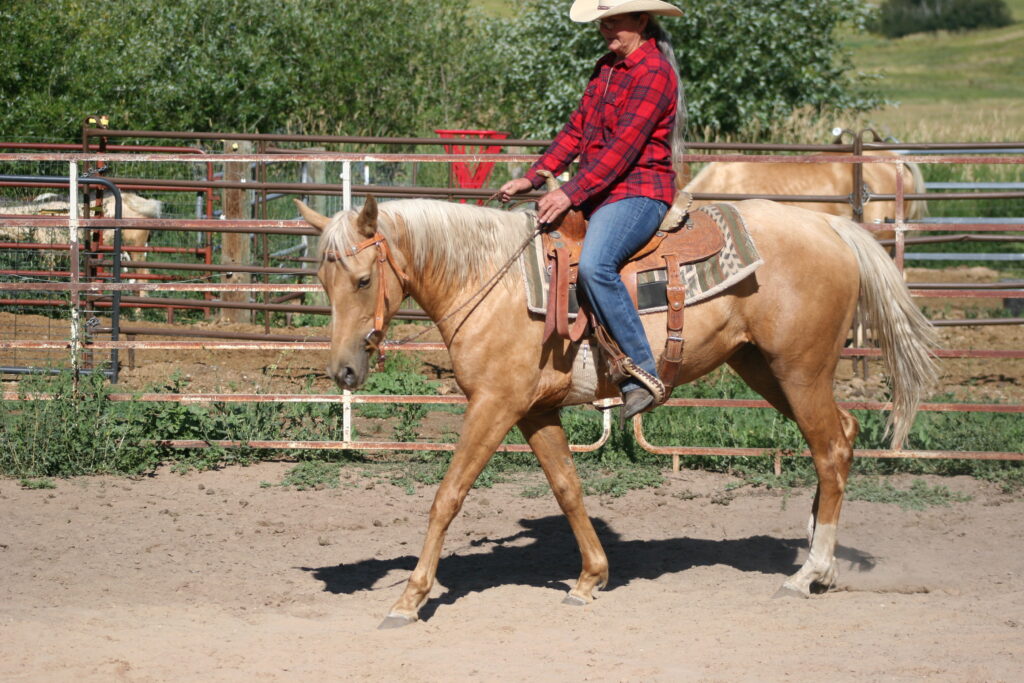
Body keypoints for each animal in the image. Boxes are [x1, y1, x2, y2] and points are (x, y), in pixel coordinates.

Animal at [295, 194, 937, 629]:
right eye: (323, 282)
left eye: (362, 279)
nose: (343, 372)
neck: (490, 280)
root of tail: (831, 225)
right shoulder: (534, 411)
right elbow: (568, 488)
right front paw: (590, 579)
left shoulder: (494, 405)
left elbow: (447, 496)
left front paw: (409, 598)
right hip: (765, 368)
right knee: (841, 436)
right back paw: (818, 561)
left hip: (799, 370)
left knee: (830, 448)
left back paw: (808, 574)